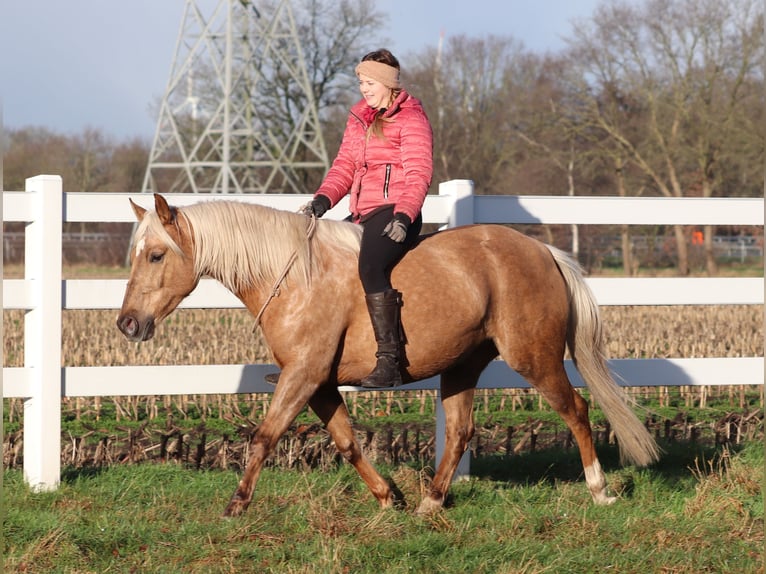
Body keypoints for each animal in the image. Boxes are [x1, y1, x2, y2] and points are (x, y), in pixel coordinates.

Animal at [115, 196, 660, 520]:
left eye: (157, 255)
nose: (128, 325)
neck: (294, 277)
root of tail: (543, 251)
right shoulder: (319, 383)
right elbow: (347, 444)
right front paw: (389, 498)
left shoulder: (303, 375)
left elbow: (265, 436)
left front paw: (236, 504)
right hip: (462, 366)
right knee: (460, 432)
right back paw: (429, 503)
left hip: (535, 358)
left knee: (577, 411)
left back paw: (600, 490)